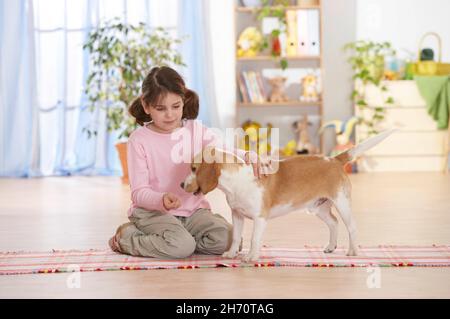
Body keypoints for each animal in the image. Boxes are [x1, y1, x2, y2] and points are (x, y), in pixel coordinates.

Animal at [181, 130, 396, 262]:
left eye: (193, 168)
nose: (181, 184)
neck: (237, 180)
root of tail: (334, 159)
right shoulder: (237, 215)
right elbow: (235, 238)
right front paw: (231, 253)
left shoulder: (260, 218)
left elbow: (253, 239)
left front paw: (251, 257)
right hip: (319, 208)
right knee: (334, 223)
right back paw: (330, 246)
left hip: (342, 204)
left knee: (351, 227)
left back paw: (353, 251)